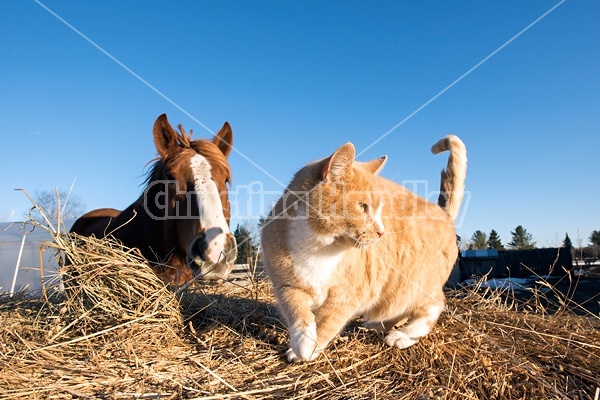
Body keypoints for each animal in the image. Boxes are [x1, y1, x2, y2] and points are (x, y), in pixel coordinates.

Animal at [262, 135, 468, 362]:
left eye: (380, 210)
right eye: (363, 207)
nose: (381, 232)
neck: (318, 247)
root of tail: (443, 213)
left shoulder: (347, 298)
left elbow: (327, 321)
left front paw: (309, 348)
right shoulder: (286, 286)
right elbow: (298, 311)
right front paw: (303, 340)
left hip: (416, 285)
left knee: (434, 306)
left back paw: (403, 336)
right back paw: (378, 325)